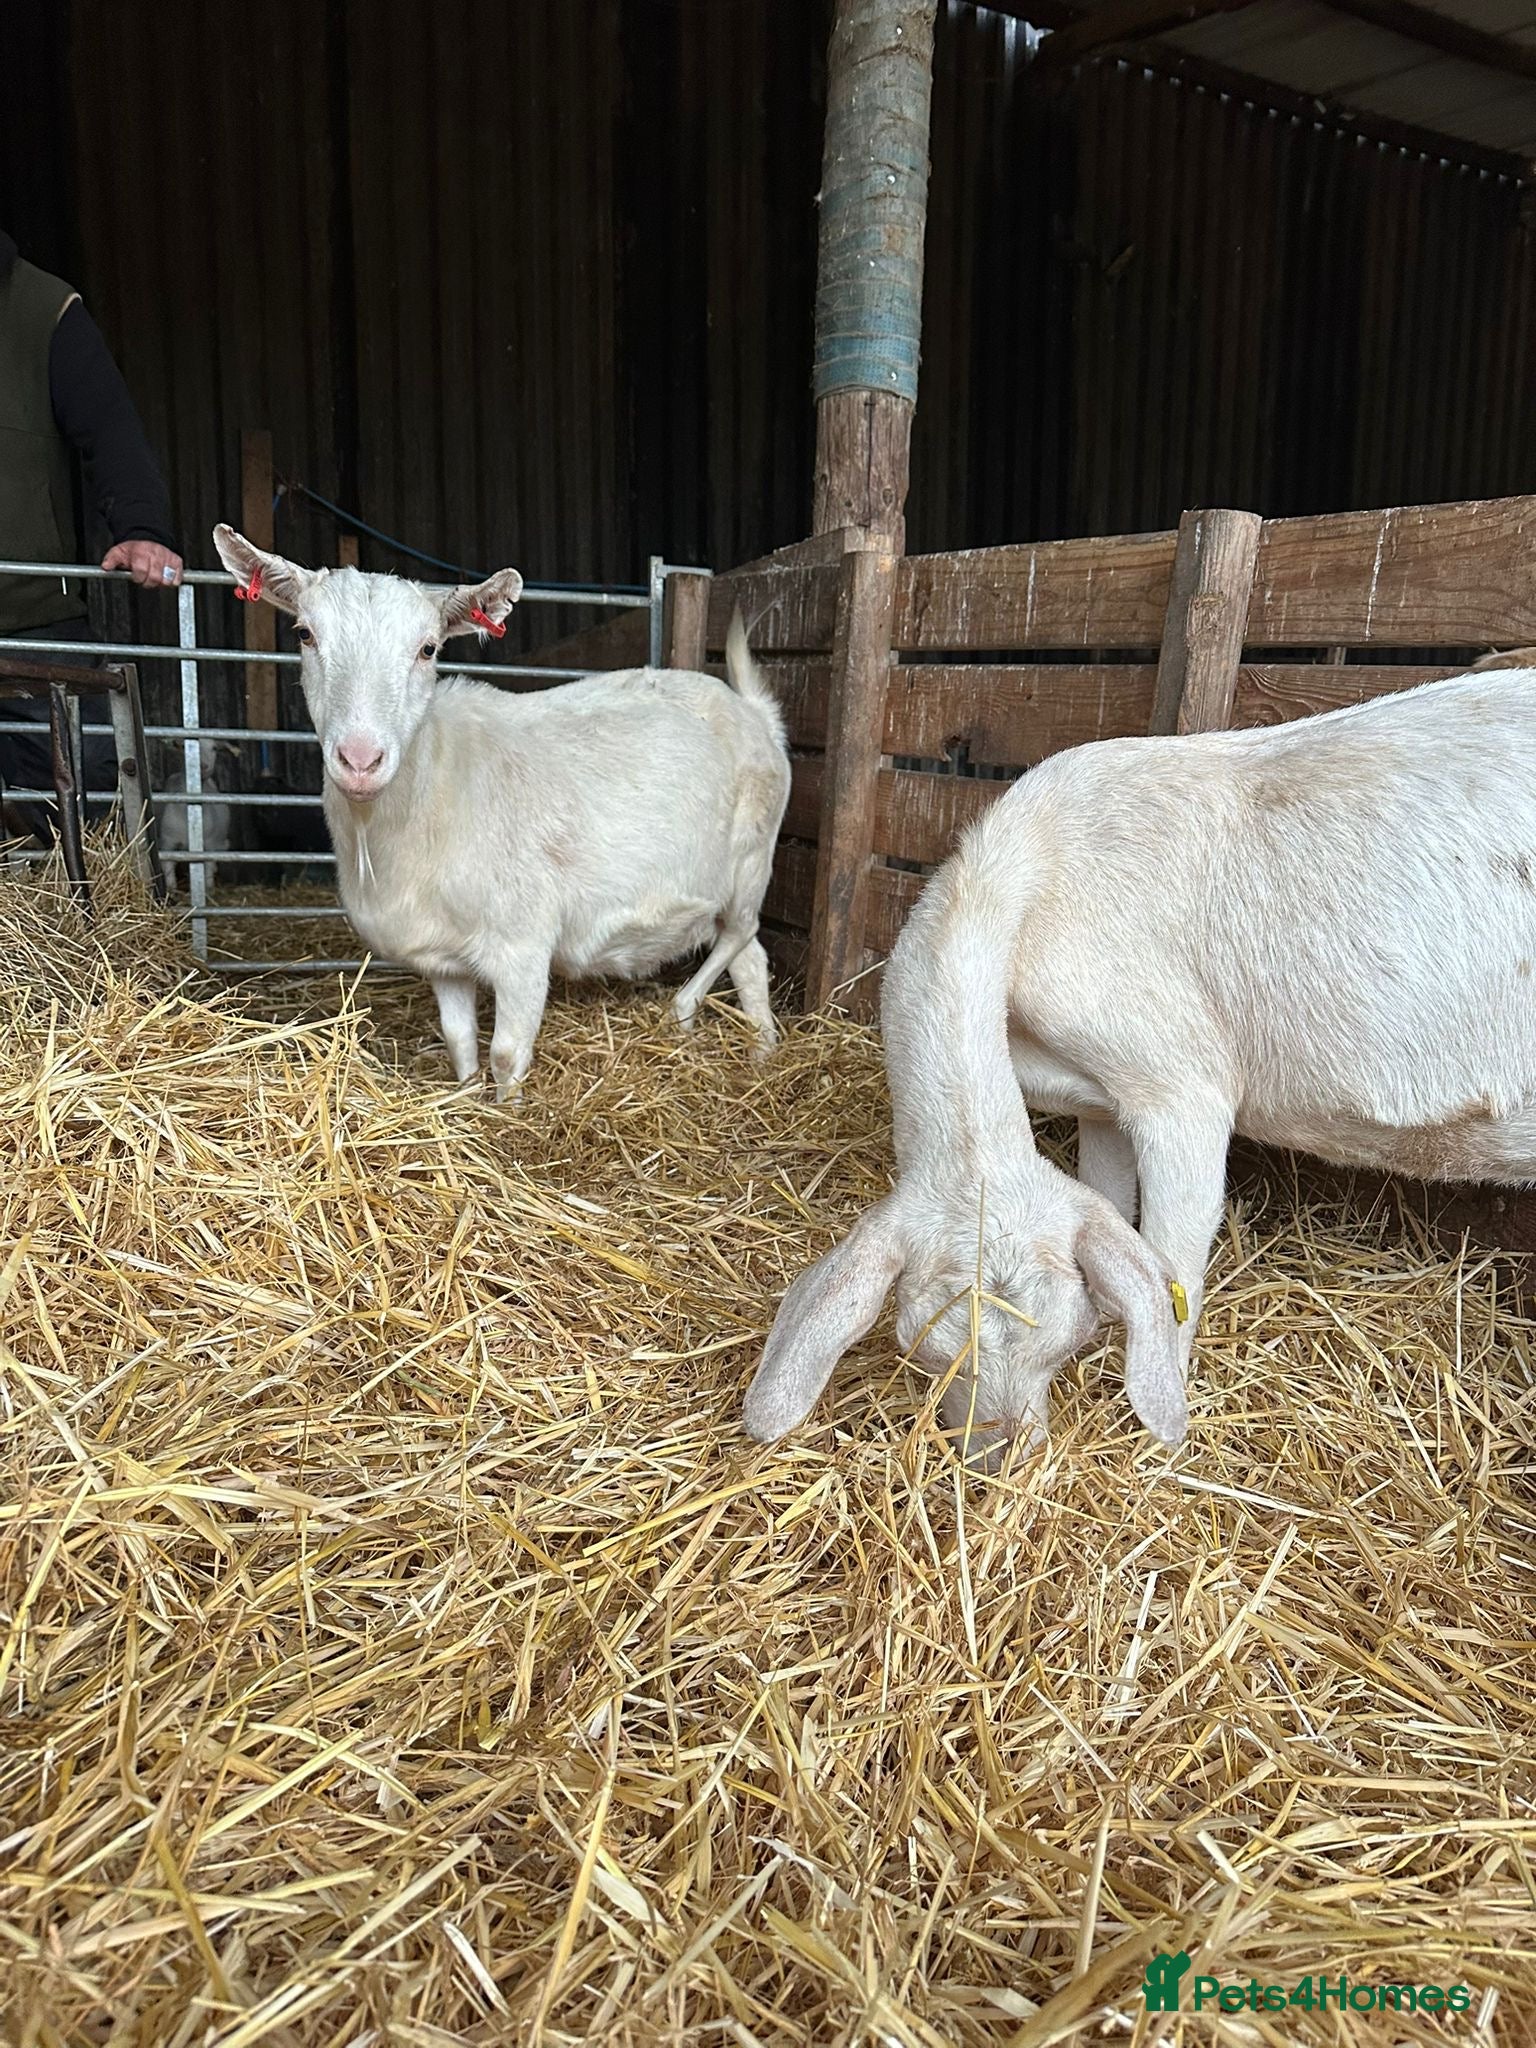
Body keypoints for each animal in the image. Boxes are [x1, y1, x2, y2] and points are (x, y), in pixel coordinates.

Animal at [212, 525, 791, 1094]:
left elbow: (507, 1054)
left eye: (428, 648)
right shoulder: (442, 958)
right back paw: (762, 1049)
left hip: (753, 858)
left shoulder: (523, 945)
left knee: (741, 935)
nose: (359, 759)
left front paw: (505, 1108)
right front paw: (467, 1093)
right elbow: (458, 1038)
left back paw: (685, 1008)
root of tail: (755, 712)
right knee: (752, 959)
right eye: (305, 635)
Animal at [745, 667, 1536, 1462]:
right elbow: (1108, 1204)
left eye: (1063, 1342)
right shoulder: (1101, 1103)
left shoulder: (1179, 1088)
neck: (1024, 876)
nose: (1009, 1461)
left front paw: (1162, 1438)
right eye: (927, 1352)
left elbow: (1173, 1268)